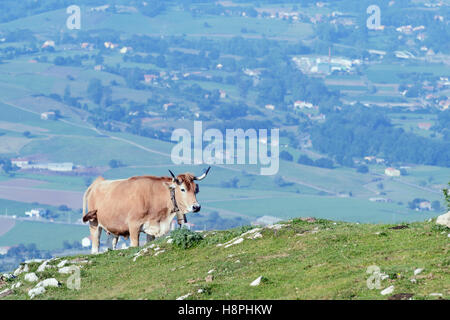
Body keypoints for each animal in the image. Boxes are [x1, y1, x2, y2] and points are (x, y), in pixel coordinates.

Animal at [81, 168, 210, 252]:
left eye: (196, 189)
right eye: (182, 189)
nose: (196, 207)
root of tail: (97, 182)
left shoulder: (152, 227)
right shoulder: (133, 226)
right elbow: (135, 245)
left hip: (112, 228)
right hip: (94, 223)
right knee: (95, 247)